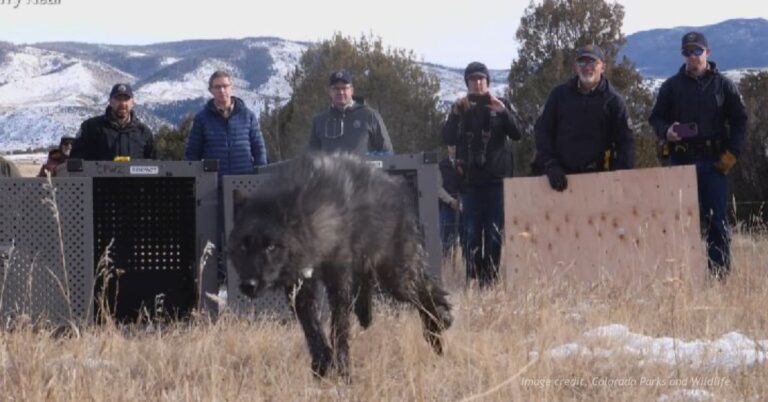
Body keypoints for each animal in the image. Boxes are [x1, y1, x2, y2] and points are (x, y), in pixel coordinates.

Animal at [227, 153, 453, 379]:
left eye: (271, 246)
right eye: (243, 246)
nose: (248, 285)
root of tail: (396, 186)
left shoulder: (338, 280)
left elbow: (338, 327)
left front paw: (343, 370)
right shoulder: (300, 286)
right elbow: (311, 327)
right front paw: (322, 363)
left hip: (397, 280)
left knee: (426, 292)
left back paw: (439, 324)